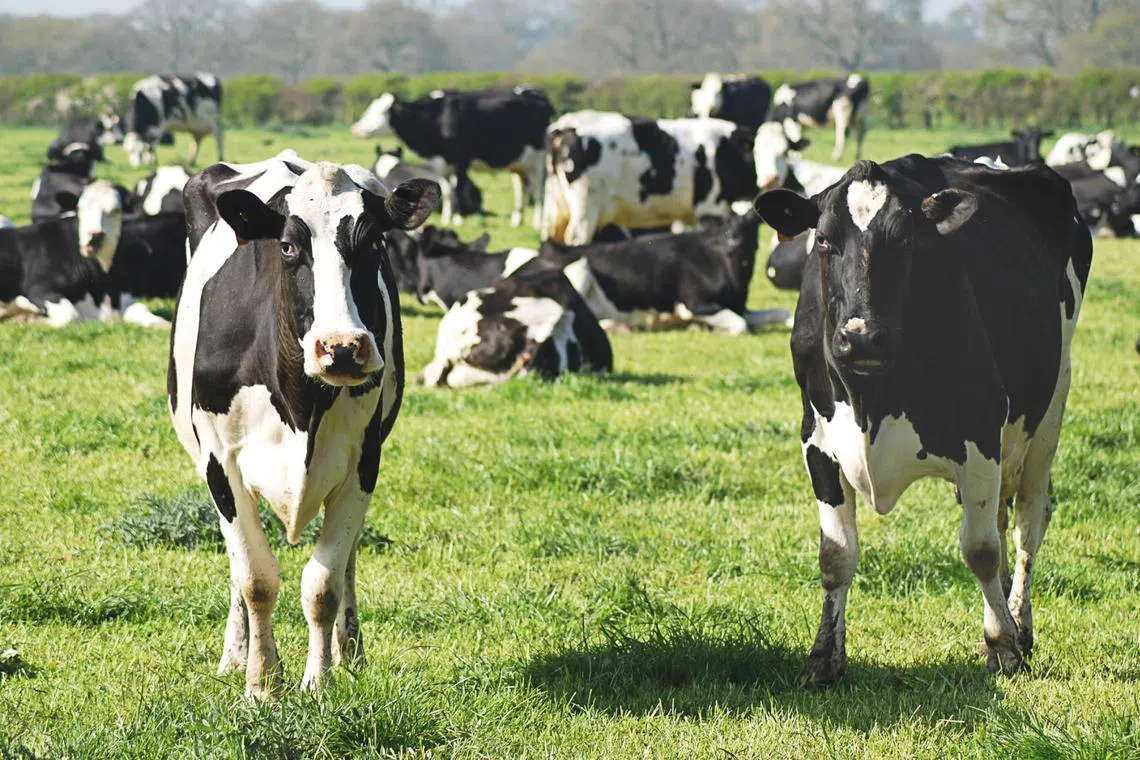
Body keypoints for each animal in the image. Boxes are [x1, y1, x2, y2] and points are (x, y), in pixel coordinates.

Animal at [168, 150, 439, 698]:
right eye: (289, 246)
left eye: (375, 243)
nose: (342, 347)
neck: (301, 405)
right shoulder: (219, 463)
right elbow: (255, 578)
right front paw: (261, 684)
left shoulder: (363, 462)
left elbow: (323, 583)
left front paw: (319, 682)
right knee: (238, 568)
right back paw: (235, 654)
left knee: (348, 557)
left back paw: (350, 651)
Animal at [351, 88, 553, 228]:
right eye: (369, 109)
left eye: (383, 111)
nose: (356, 129)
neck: (437, 117)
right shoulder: (441, 164)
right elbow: (447, 191)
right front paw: (446, 218)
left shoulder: (460, 160)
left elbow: (458, 189)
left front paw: (457, 219)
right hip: (519, 165)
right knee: (522, 189)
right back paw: (517, 220)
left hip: (539, 160)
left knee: (538, 191)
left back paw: (537, 223)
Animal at [539, 211, 790, 334]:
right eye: (723, 226)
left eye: (751, 225)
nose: (735, 243)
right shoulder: (695, 304)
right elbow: (740, 325)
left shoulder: (739, 306)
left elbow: (782, 313)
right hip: (579, 269)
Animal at [752, 154, 1092, 686]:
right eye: (823, 239)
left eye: (906, 238)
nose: (861, 337)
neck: (870, 399)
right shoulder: (817, 441)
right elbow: (835, 555)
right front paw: (824, 658)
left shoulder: (980, 434)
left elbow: (981, 549)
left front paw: (1003, 647)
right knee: (1002, 518)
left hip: (1051, 404)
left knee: (1028, 522)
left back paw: (1021, 625)